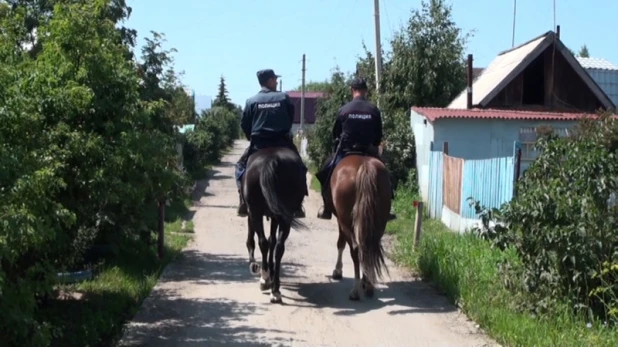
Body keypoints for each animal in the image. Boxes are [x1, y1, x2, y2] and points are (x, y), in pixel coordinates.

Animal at [242, 147, 306, 304]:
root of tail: (272, 161)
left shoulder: (252, 212)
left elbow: (253, 238)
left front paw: (254, 264)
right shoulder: (275, 216)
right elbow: (272, 240)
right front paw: (271, 272)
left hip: (256, 211)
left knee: (263, 242)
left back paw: (264, 279)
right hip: (284, 216)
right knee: (279, 247)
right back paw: (275, 290)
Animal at [324, 155, 388, 302]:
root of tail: (365, 166)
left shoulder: (340, 221)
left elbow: (340, 244)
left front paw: (338, 271)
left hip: (346, 222)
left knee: (355, 250)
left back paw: (355, 291)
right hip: (379, 224)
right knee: (368, 248)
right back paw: (368, 285)